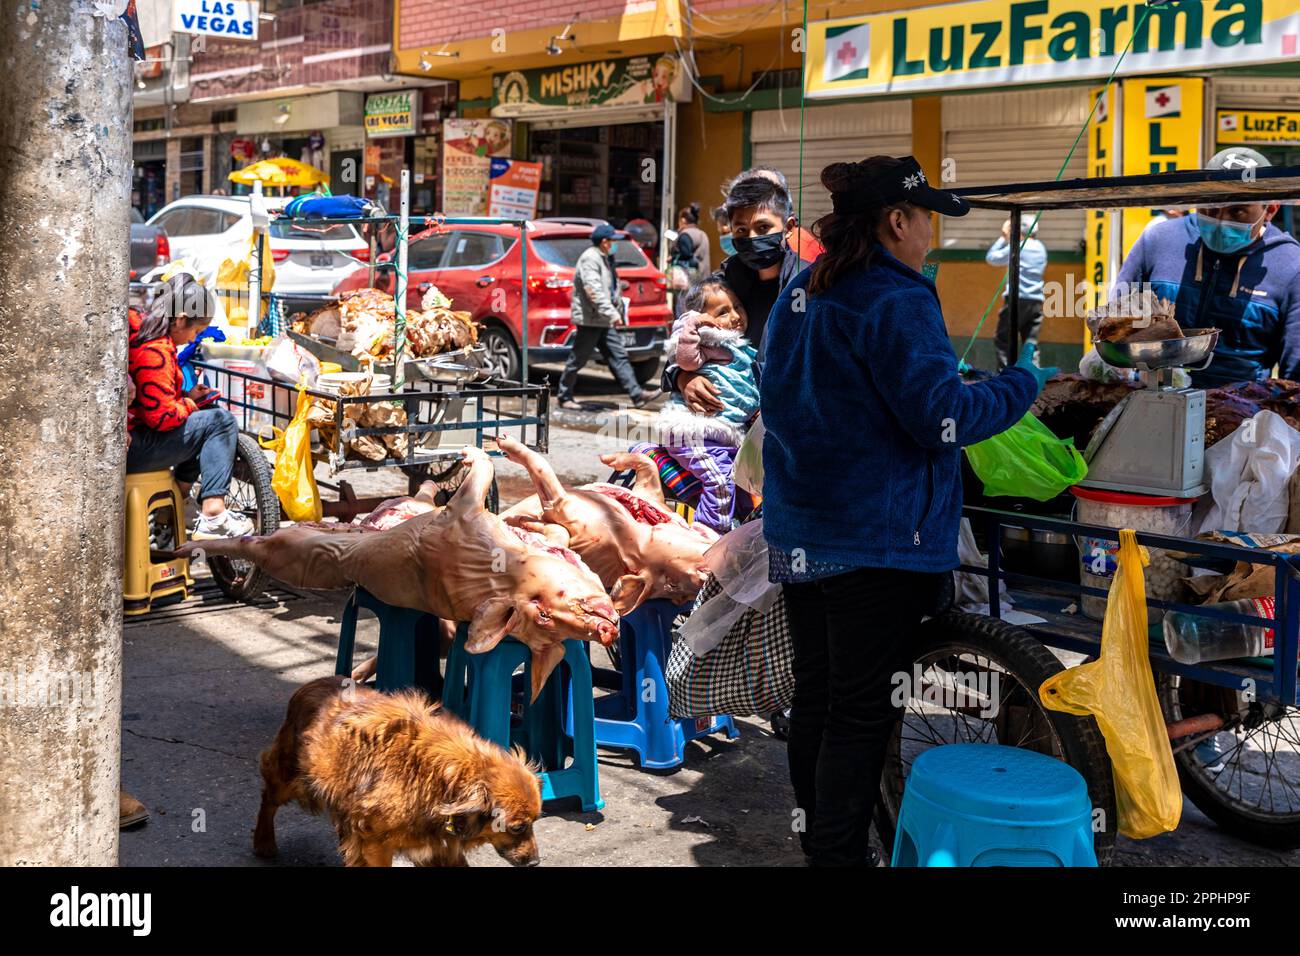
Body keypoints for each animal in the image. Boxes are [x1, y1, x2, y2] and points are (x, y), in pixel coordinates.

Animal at [253, 676, 543, 868]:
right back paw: (263, 842)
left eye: (535, 822)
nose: (535, 862)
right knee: (268, 798)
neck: (442, 779)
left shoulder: (439, 845)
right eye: (517, 827)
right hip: (288, 774)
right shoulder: (376, 844)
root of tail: (313, 684)